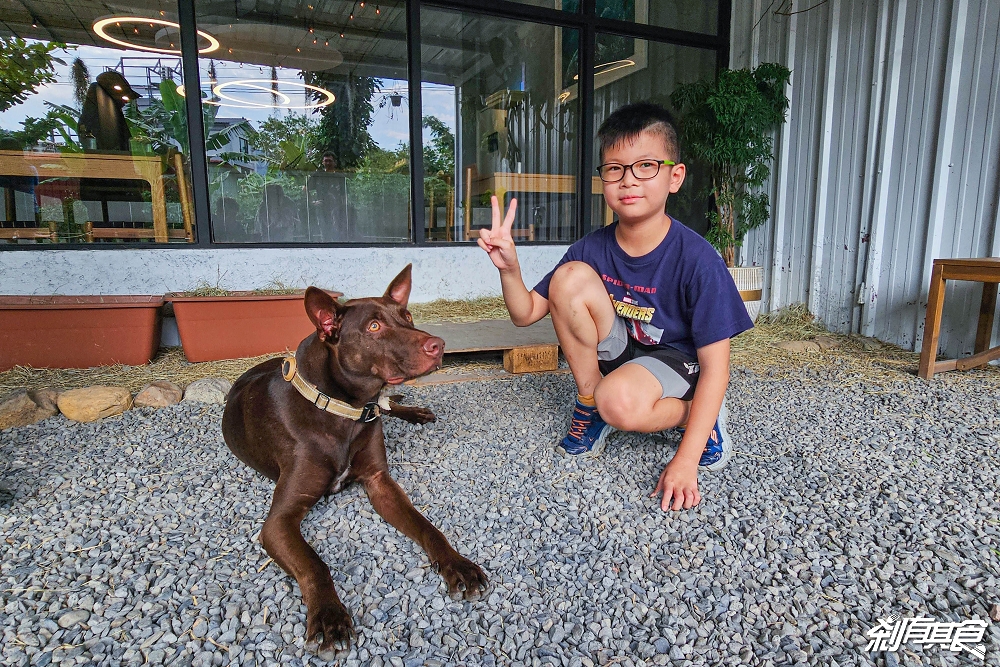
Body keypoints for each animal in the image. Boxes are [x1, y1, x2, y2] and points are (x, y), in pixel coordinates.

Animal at [227, 264, 492, 656]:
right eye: (374, 327)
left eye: (407, 316)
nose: (438, 345)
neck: (343, 409)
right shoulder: (279, 521)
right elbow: (315, 564)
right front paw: (328, 616)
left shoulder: (380, 483)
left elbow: (428, 527)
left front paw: (457, 564)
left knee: (389, 403)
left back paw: (414, 412)